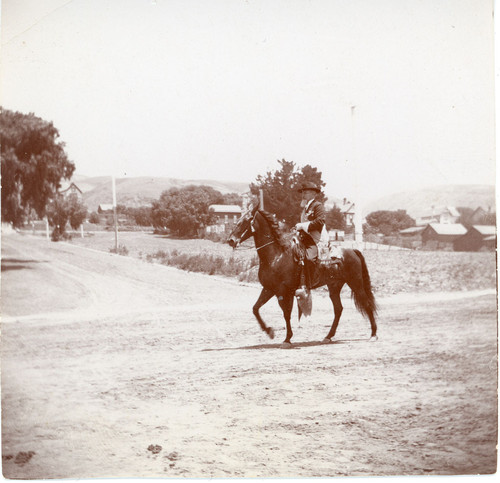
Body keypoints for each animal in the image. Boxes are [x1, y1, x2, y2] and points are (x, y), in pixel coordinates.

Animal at [229, 204, 376, 348]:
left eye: (246, 220)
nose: (230, 240)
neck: (276, 256)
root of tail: (353, 251)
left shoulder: (283, 291)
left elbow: (286, 314)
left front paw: (287, 339)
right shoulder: (269, 289)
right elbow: (256, 308)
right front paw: (270, 331)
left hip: (355, 283)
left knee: (367, 303)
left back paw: (373, 335)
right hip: (334, 286)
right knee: (338, 309)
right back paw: (328, 337)